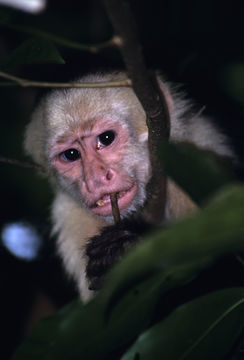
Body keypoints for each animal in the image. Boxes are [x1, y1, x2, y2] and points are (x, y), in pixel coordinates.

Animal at [24, 71, 234, 302]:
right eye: (71, 155)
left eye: (106, 138)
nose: (95, 179)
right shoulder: (69, 217)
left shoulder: (191, 164)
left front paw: (123, 249)